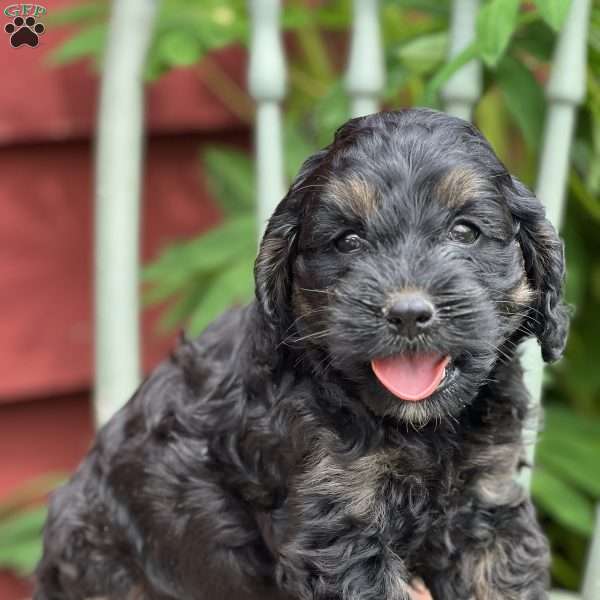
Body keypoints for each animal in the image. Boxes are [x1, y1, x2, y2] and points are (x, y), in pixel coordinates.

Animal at [35, 109, 568, 600]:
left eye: (465, 231)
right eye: (348, 240)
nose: (408, 314)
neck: (420, 430)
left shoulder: (488, 507)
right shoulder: (337, 529)